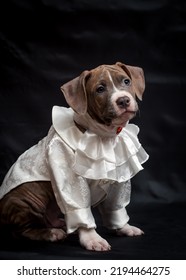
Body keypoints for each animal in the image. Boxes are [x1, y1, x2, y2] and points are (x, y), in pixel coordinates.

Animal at [0, 62, 148, 250]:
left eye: (127, 81)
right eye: (100, 89)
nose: (123, 100)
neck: (103, 135)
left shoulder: (118, 179)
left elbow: (115, 207)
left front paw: (124, 227)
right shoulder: (70, 178)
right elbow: (80, 208)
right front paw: (91, 238)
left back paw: (60, 224)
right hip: (28, 197)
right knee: (21, 231)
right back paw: (51, 233)